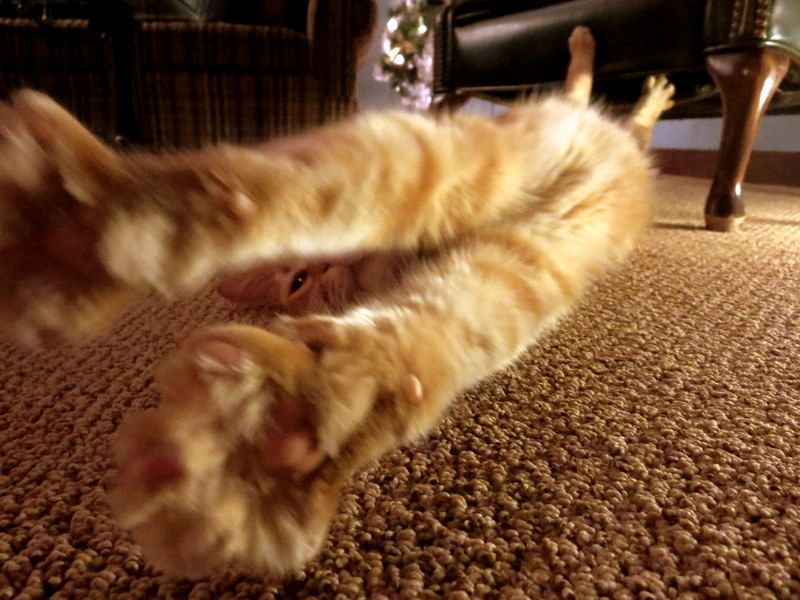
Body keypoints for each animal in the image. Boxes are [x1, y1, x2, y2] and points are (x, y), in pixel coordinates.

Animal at [0, 27, 676, 576]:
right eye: (299, 284)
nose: (330, 264)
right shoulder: (504, 250)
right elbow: (413, 349)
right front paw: (273, 444)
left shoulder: (488, 181)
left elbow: (302, 189)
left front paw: (100, 217)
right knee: (603, 106)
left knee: (598, 98)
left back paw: (633, 73)